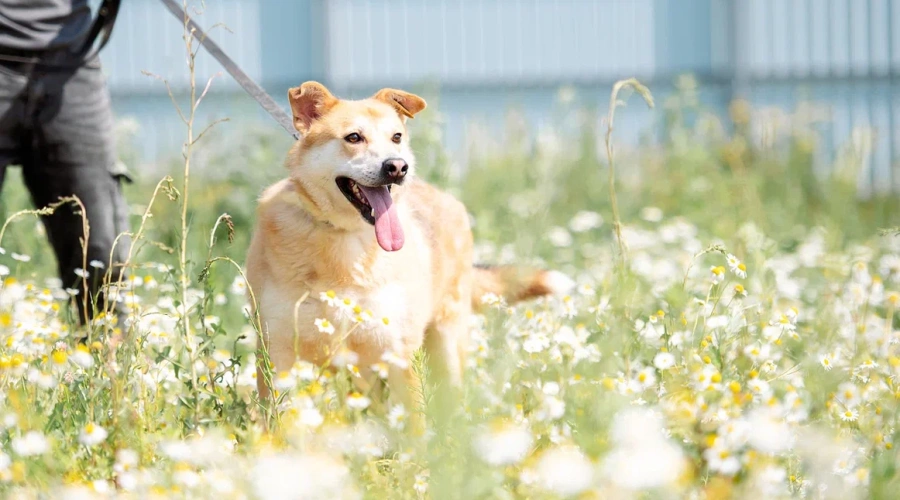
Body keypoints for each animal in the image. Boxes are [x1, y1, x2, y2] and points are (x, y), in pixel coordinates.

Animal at [245, 82, 573, 417]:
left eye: (396, 137)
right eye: (354, 137)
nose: (397, 167)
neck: (346, 237)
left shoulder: (398, 351)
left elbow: (415, 422)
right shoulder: (278, 352)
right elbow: (280, 419)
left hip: (444, 349)